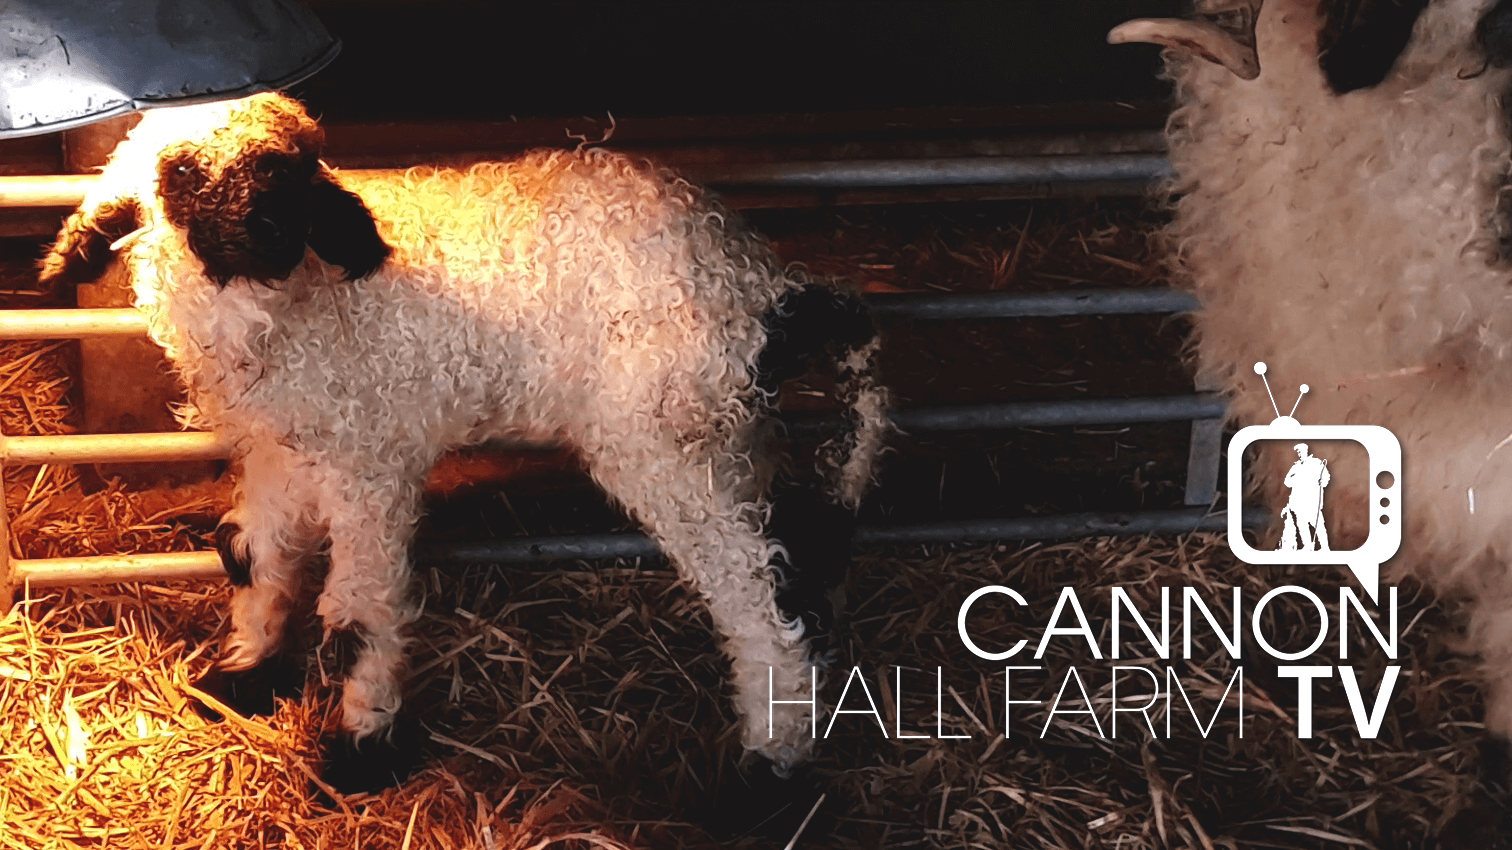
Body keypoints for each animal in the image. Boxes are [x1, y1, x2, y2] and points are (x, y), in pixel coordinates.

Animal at [39, 93, 890, 792]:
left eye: (302, 168)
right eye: (181, 175)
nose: (274, 231)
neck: (286, 315)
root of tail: (764, 286)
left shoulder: (370, 460)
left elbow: (362, 611)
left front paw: (360, 750)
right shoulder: (285, 450)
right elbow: (254, 556)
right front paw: (243, 675)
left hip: (668, 443)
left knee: (758, 598)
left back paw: (772, 759)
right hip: (732, 433)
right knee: (794, 547)